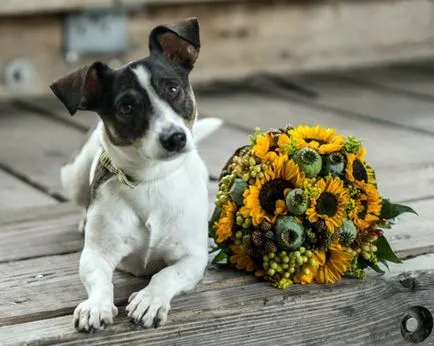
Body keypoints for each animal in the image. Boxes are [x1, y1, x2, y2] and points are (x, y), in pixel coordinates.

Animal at [49, 17, 222, 332]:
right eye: (127, 107)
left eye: (173, 89)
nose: (175, 138)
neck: (151, 179)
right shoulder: (95, 255)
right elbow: (99, 280)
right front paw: (96, 305)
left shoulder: (192, 259)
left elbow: (166, 275)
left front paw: (150, 299)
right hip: (73, 174)